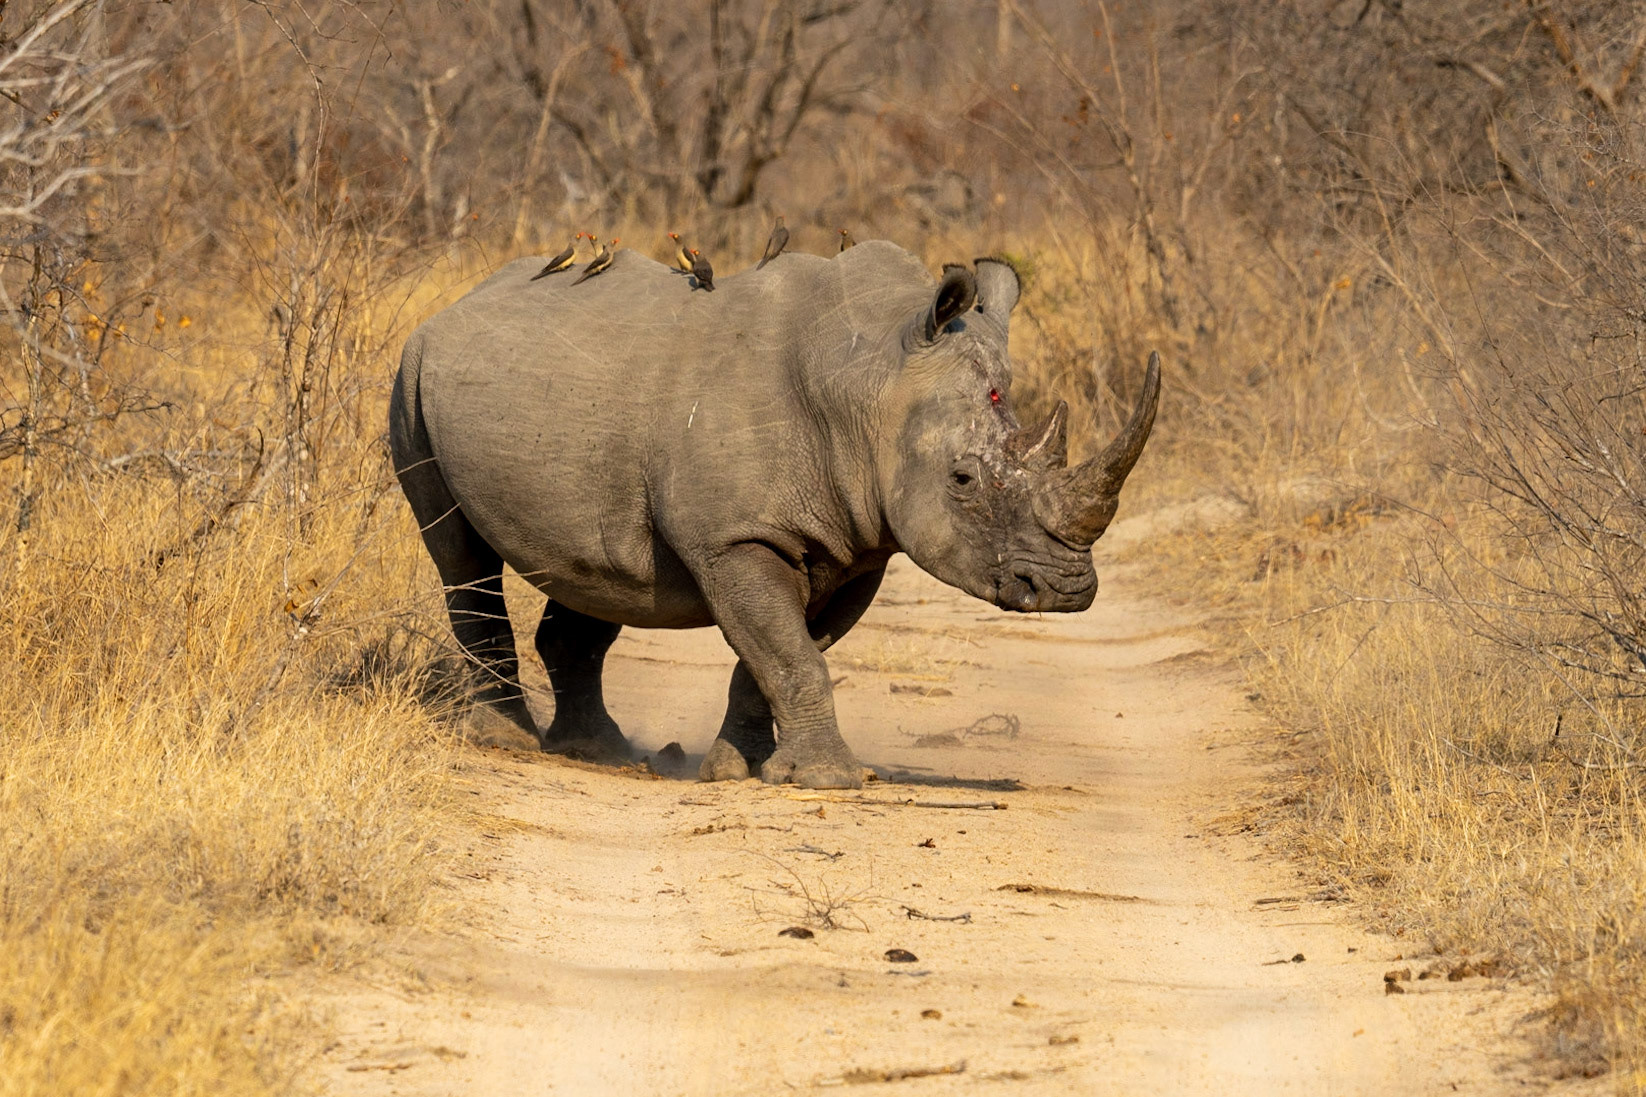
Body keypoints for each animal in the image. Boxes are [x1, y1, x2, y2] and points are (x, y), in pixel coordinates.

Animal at [389, 241, 1159, 789]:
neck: (872, 381)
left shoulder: (854, 547)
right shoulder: (736, 538)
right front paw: (829, 782)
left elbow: (777, 654)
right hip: (412, 374)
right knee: (460, 557)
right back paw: (504, 740)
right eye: (963, 480)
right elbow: (788, 653)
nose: (1067, 589)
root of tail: (451, 307)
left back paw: (594, 750)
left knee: (594, 570)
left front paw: (738, 771)